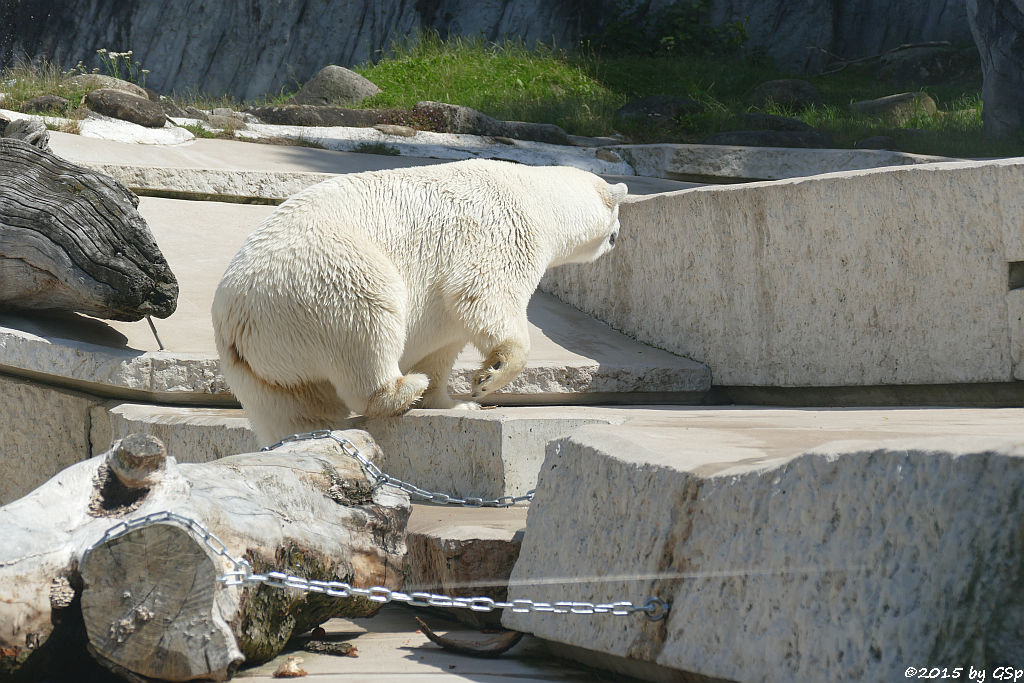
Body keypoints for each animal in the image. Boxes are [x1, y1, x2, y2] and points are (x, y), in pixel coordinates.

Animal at [211, 158, 626, 446]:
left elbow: (444, 343)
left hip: (260, 367)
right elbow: (485, 296)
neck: (536, 197)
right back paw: (402, 389)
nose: (617, 238)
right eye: (617, 218)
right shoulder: (502, 233)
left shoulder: (442, 305)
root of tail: (240, 316)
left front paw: (454, 402)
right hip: (325, 278)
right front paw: (487, 379)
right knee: (369, 318)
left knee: (294, 410)